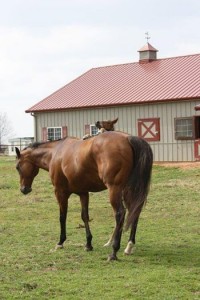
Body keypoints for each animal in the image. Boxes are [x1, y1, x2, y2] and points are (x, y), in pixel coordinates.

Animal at [15, 131, 153, 260]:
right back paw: (129, 246)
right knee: (134, 211)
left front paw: (60, 242)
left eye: (17, 167)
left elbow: (62, 217)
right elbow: (85, 216)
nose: (24, 189)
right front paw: (88, 244)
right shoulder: (83, 193)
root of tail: (128, 138)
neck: (55, 153)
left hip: (115, 189)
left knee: (120, 214)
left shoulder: (60, 192)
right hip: (129, 189)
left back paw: (114, 251)